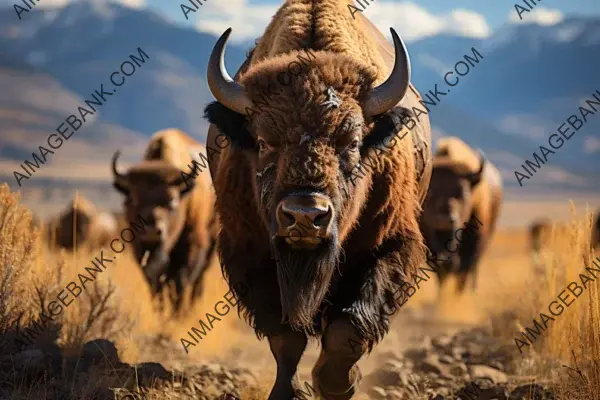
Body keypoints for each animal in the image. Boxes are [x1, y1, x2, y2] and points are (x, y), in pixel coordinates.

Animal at [111, 128, 217, 310]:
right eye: (133, 199)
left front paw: (178, 314)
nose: (151, 231)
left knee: (198, 279)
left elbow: (181, 282)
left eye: (172, 201)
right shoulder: (141, 250)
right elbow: (155, 283)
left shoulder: (194, 243)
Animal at [202, 1, 432, 398]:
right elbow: (286, 338)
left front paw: (339, 384)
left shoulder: (388, 246)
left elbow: (348, 328)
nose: (305, 216)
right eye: (263, 141)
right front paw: (289, 391)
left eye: (352, 142)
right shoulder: (249, 252)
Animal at [418, 138, 502, 294]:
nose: (445, 219)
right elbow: (441, 272)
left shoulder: (475, 242)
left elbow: (463, 272)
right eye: (429, 192)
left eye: (463, 193)